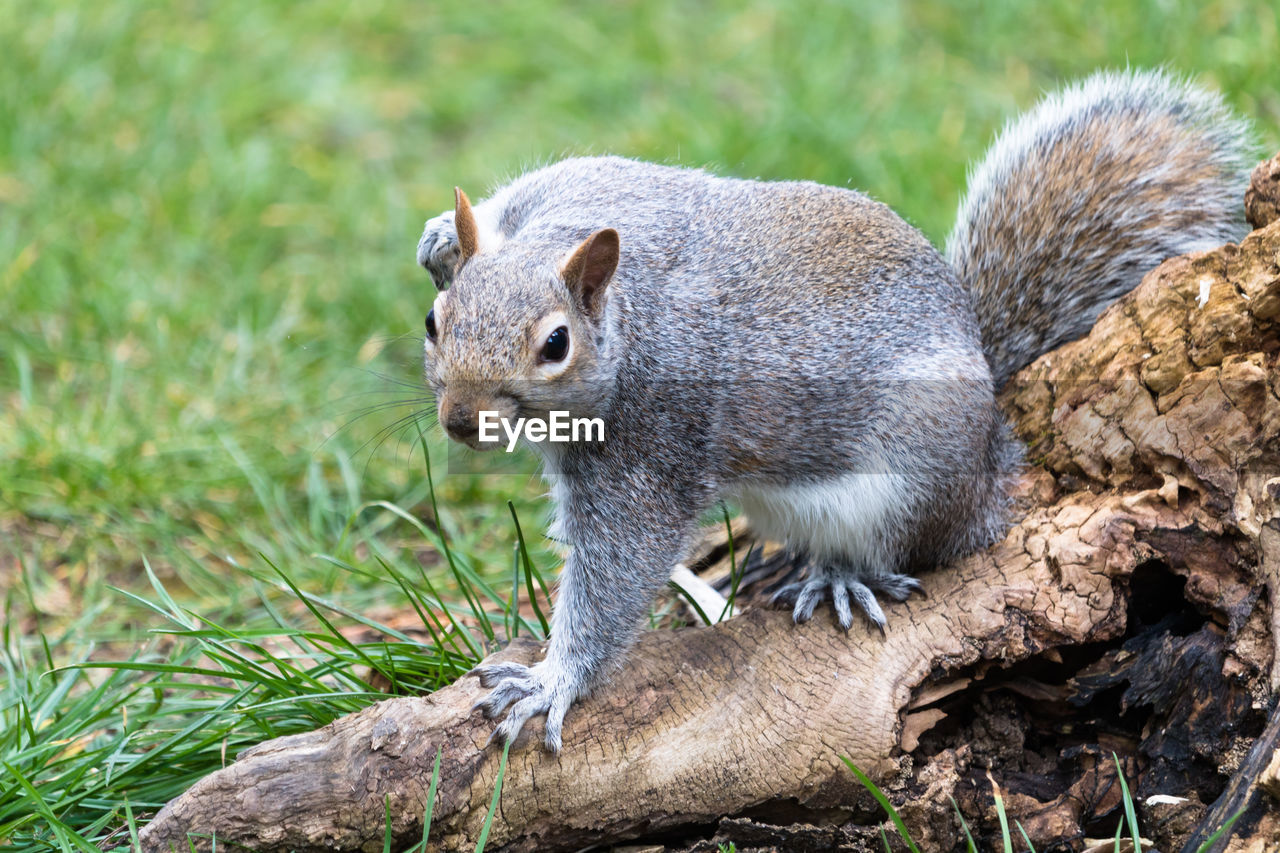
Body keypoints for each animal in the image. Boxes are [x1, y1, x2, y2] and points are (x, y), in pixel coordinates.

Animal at [417, 69, 1249, 747]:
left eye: (556, 344)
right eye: (434, 320)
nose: (460, 420)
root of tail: (993, 440)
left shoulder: (649, 447)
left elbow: (618, 568)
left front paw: (553, 680)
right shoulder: (594, 187)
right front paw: (442, 233)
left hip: (911, 477)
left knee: (911, 545)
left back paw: (842, 577)